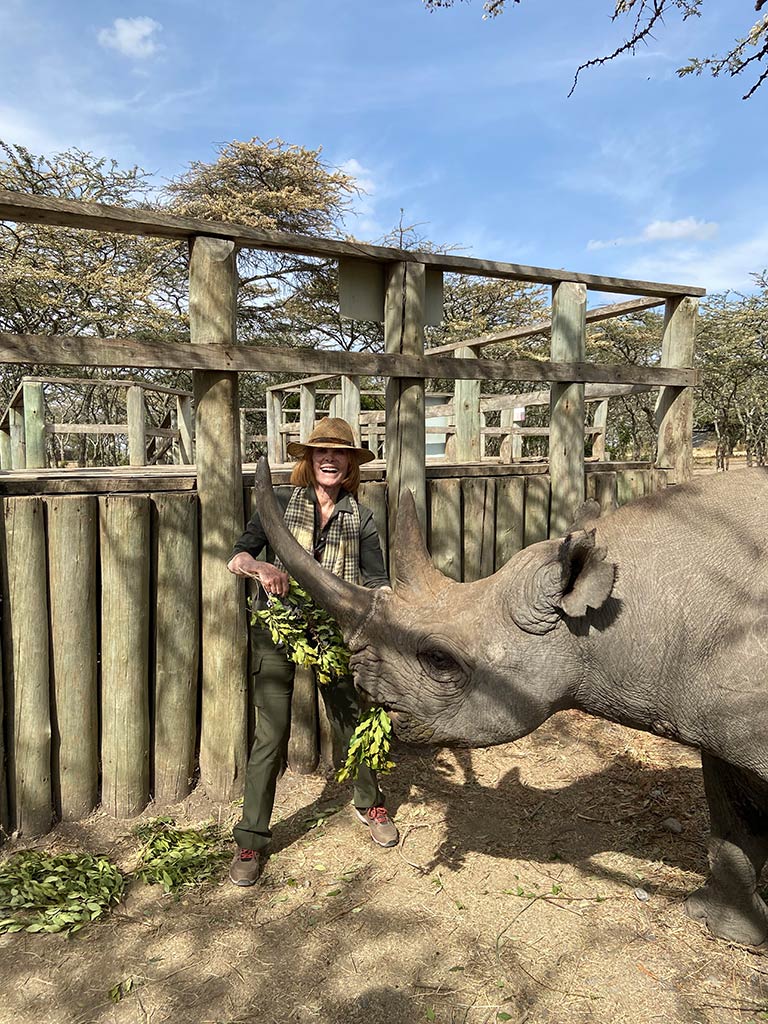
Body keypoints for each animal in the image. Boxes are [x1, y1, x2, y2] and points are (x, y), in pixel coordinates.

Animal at [254, 459, 768, 946]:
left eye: (439, 660)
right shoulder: (718, 720)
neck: (618, 618)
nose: (366, 689)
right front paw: (722, 927)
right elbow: (732, 820)